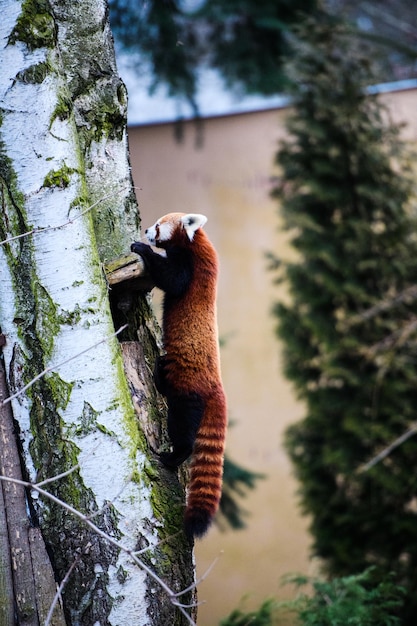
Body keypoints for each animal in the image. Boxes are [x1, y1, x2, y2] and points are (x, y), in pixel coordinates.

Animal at [131, 212, 226, 540]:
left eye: (159, 226)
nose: (146, 230)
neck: (197, 243)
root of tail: (216, 387)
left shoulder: (189, 269)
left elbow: (170, 279)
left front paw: (142, 250)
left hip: (187, 394)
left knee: (183, 430)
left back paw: (173, 456)